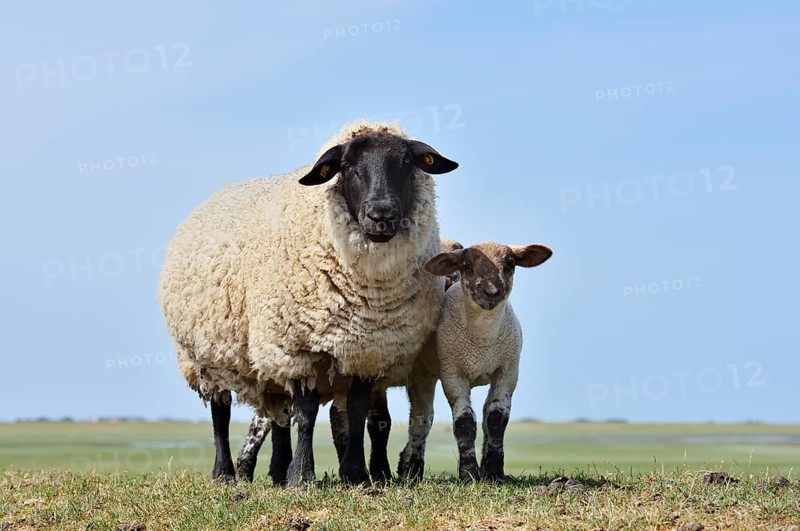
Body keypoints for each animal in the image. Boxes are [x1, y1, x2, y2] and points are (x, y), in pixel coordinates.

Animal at [158, 120, 459, 486]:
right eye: (347, 166)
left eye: (406, 163)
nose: (381, 215)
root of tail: (219, 193)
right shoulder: (297, 348)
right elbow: (307, 411)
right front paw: (301, 475)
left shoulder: (367, 350)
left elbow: (356, 411)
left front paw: (355, 475)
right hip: (207, 356)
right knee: (221, 411)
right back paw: (224, 473)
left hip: (267, 362)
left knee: (277, 414)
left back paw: (277, 471)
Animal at [424, 241, 553, 481]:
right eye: (466, 265)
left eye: (510, 263)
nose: (491, 292)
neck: (482, 341)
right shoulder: (452, 373)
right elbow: (464, 422)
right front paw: (469, 473)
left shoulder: (508, 371)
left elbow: (495, 419)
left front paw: (493, 471)